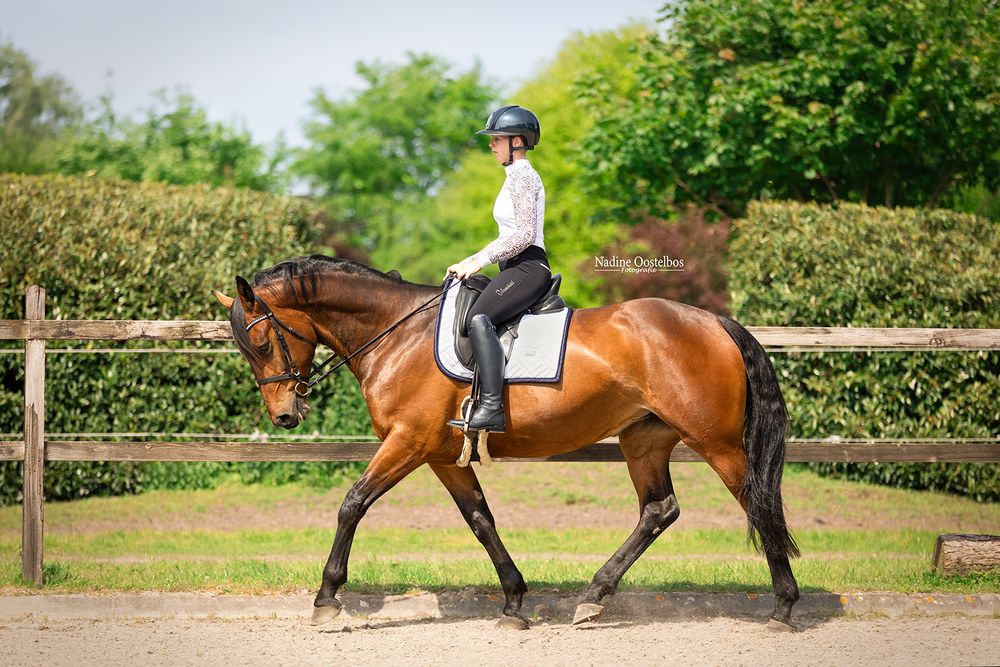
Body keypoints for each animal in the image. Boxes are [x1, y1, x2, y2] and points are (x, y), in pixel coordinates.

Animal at [213, 255, 800, 630]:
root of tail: (714, 321)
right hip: (645, 440)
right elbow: (481, 520)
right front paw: (515, 601)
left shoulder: (407, 443)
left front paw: (327, 599)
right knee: (659, 510)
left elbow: (352, 504)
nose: (285, 415)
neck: (396, 333)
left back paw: (783, 608)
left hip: (716, 442)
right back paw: (593, 598)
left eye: (260, 343)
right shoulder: (441, 455)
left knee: (757, 503)